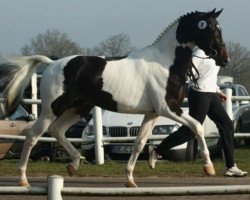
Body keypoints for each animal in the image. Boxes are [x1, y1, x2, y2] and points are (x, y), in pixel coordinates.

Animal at [0, 9, 229, 188]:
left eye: (219, 28)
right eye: (211, 29)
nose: (224, 59)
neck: (166, 62)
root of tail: (52, 64)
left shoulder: (153, 113)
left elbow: (139, 142)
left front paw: (130, 179)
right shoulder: (169, 109)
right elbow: (197, 126)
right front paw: (209, 167)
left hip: (78, 108)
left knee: (57, 130)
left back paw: (74, 164)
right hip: (52, 109)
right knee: (33, 135)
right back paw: (23, 179)